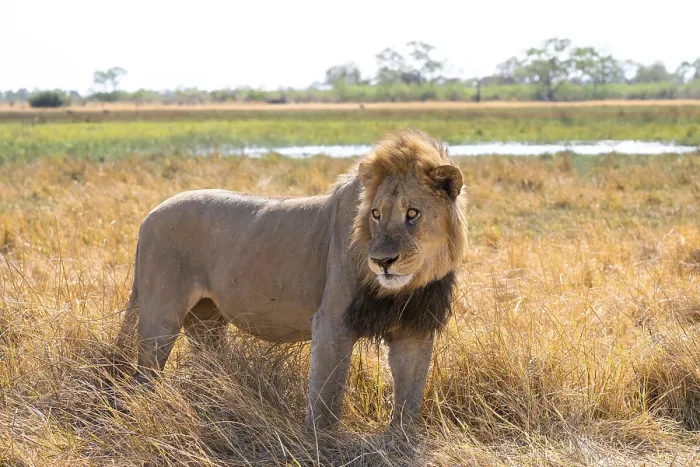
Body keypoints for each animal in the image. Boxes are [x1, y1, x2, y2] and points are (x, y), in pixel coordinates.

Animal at [115, 128, 469, 429]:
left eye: (412, 214)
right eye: (376, 214)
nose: (382, 261)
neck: (405, 287)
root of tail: (149, 216)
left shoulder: (415, 328)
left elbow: (410, 397)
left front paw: (399, 441)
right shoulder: (332, 322)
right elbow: (326, 397)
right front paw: (320, 444)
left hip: (207, 320)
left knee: (208, 364)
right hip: (160, 316)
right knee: (145, 374)